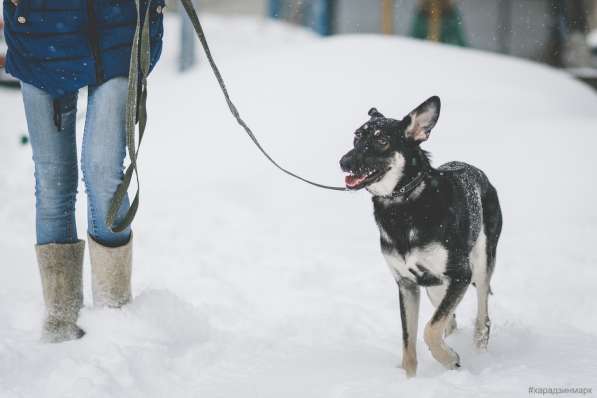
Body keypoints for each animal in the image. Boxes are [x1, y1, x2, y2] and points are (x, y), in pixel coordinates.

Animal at [338, 96, 500, 376]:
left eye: (382, 140)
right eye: (356, 137)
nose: (343, 162)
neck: (403, 206)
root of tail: (476, 171)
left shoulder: (460, 274)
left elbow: (429, 330)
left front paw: (449, 358)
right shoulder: (406, 285)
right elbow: (409, 342)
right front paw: (411, 379)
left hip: (479, 266)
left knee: (482, 318)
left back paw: (478, 353)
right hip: (436, 288)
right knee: (449, 321)